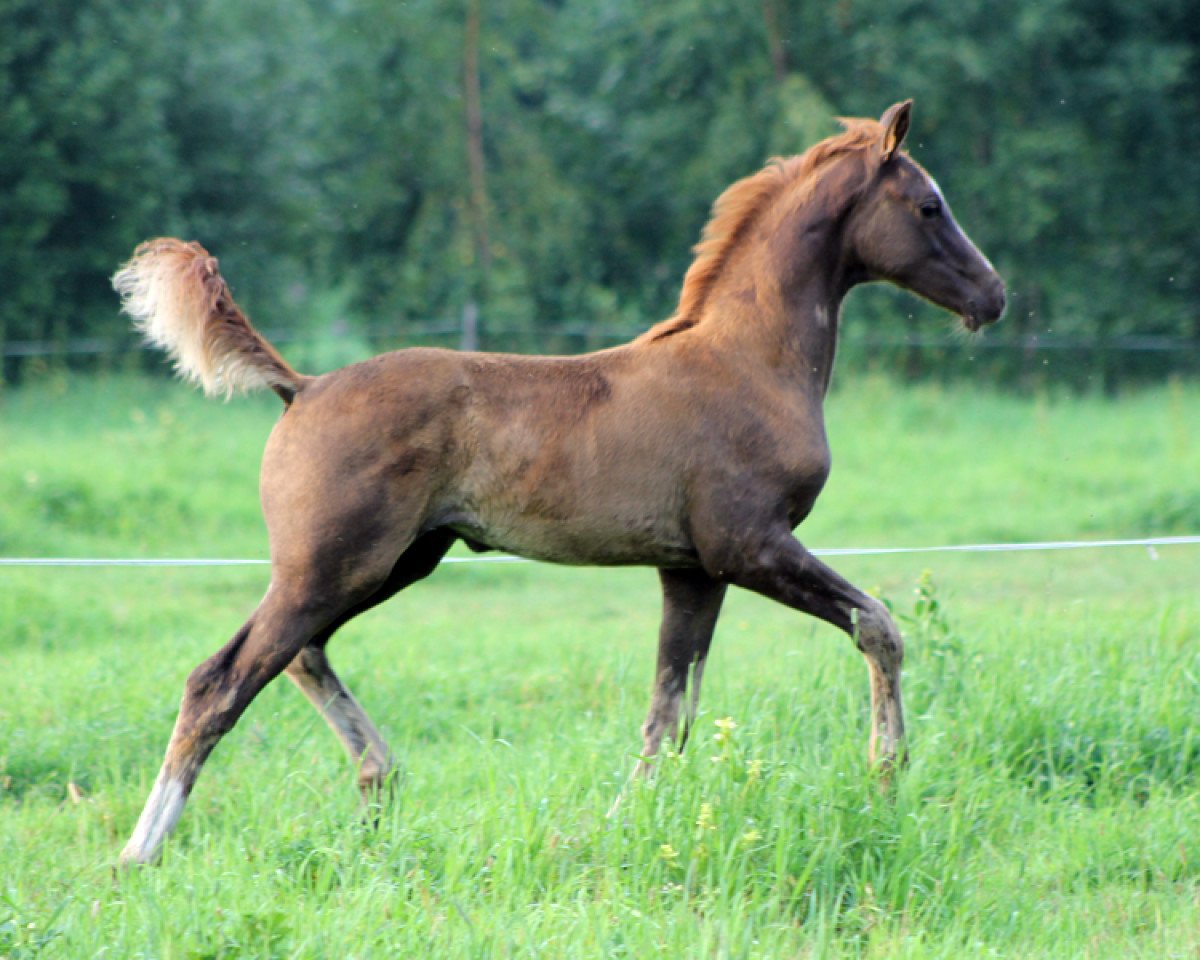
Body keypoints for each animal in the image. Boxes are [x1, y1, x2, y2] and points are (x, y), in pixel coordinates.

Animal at [112, 100, 1004, 864]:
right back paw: (140, 852)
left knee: (301, 655)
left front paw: (618, 828)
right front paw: (887, 774)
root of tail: (303, 386)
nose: (993, 295)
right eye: (929, 206)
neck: (748, 360)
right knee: (221, 680)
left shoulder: (691, 569)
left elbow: (667, 716)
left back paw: (379, 780)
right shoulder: (749, 544)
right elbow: (879, 626)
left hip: (394, 561)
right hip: (333, 565)